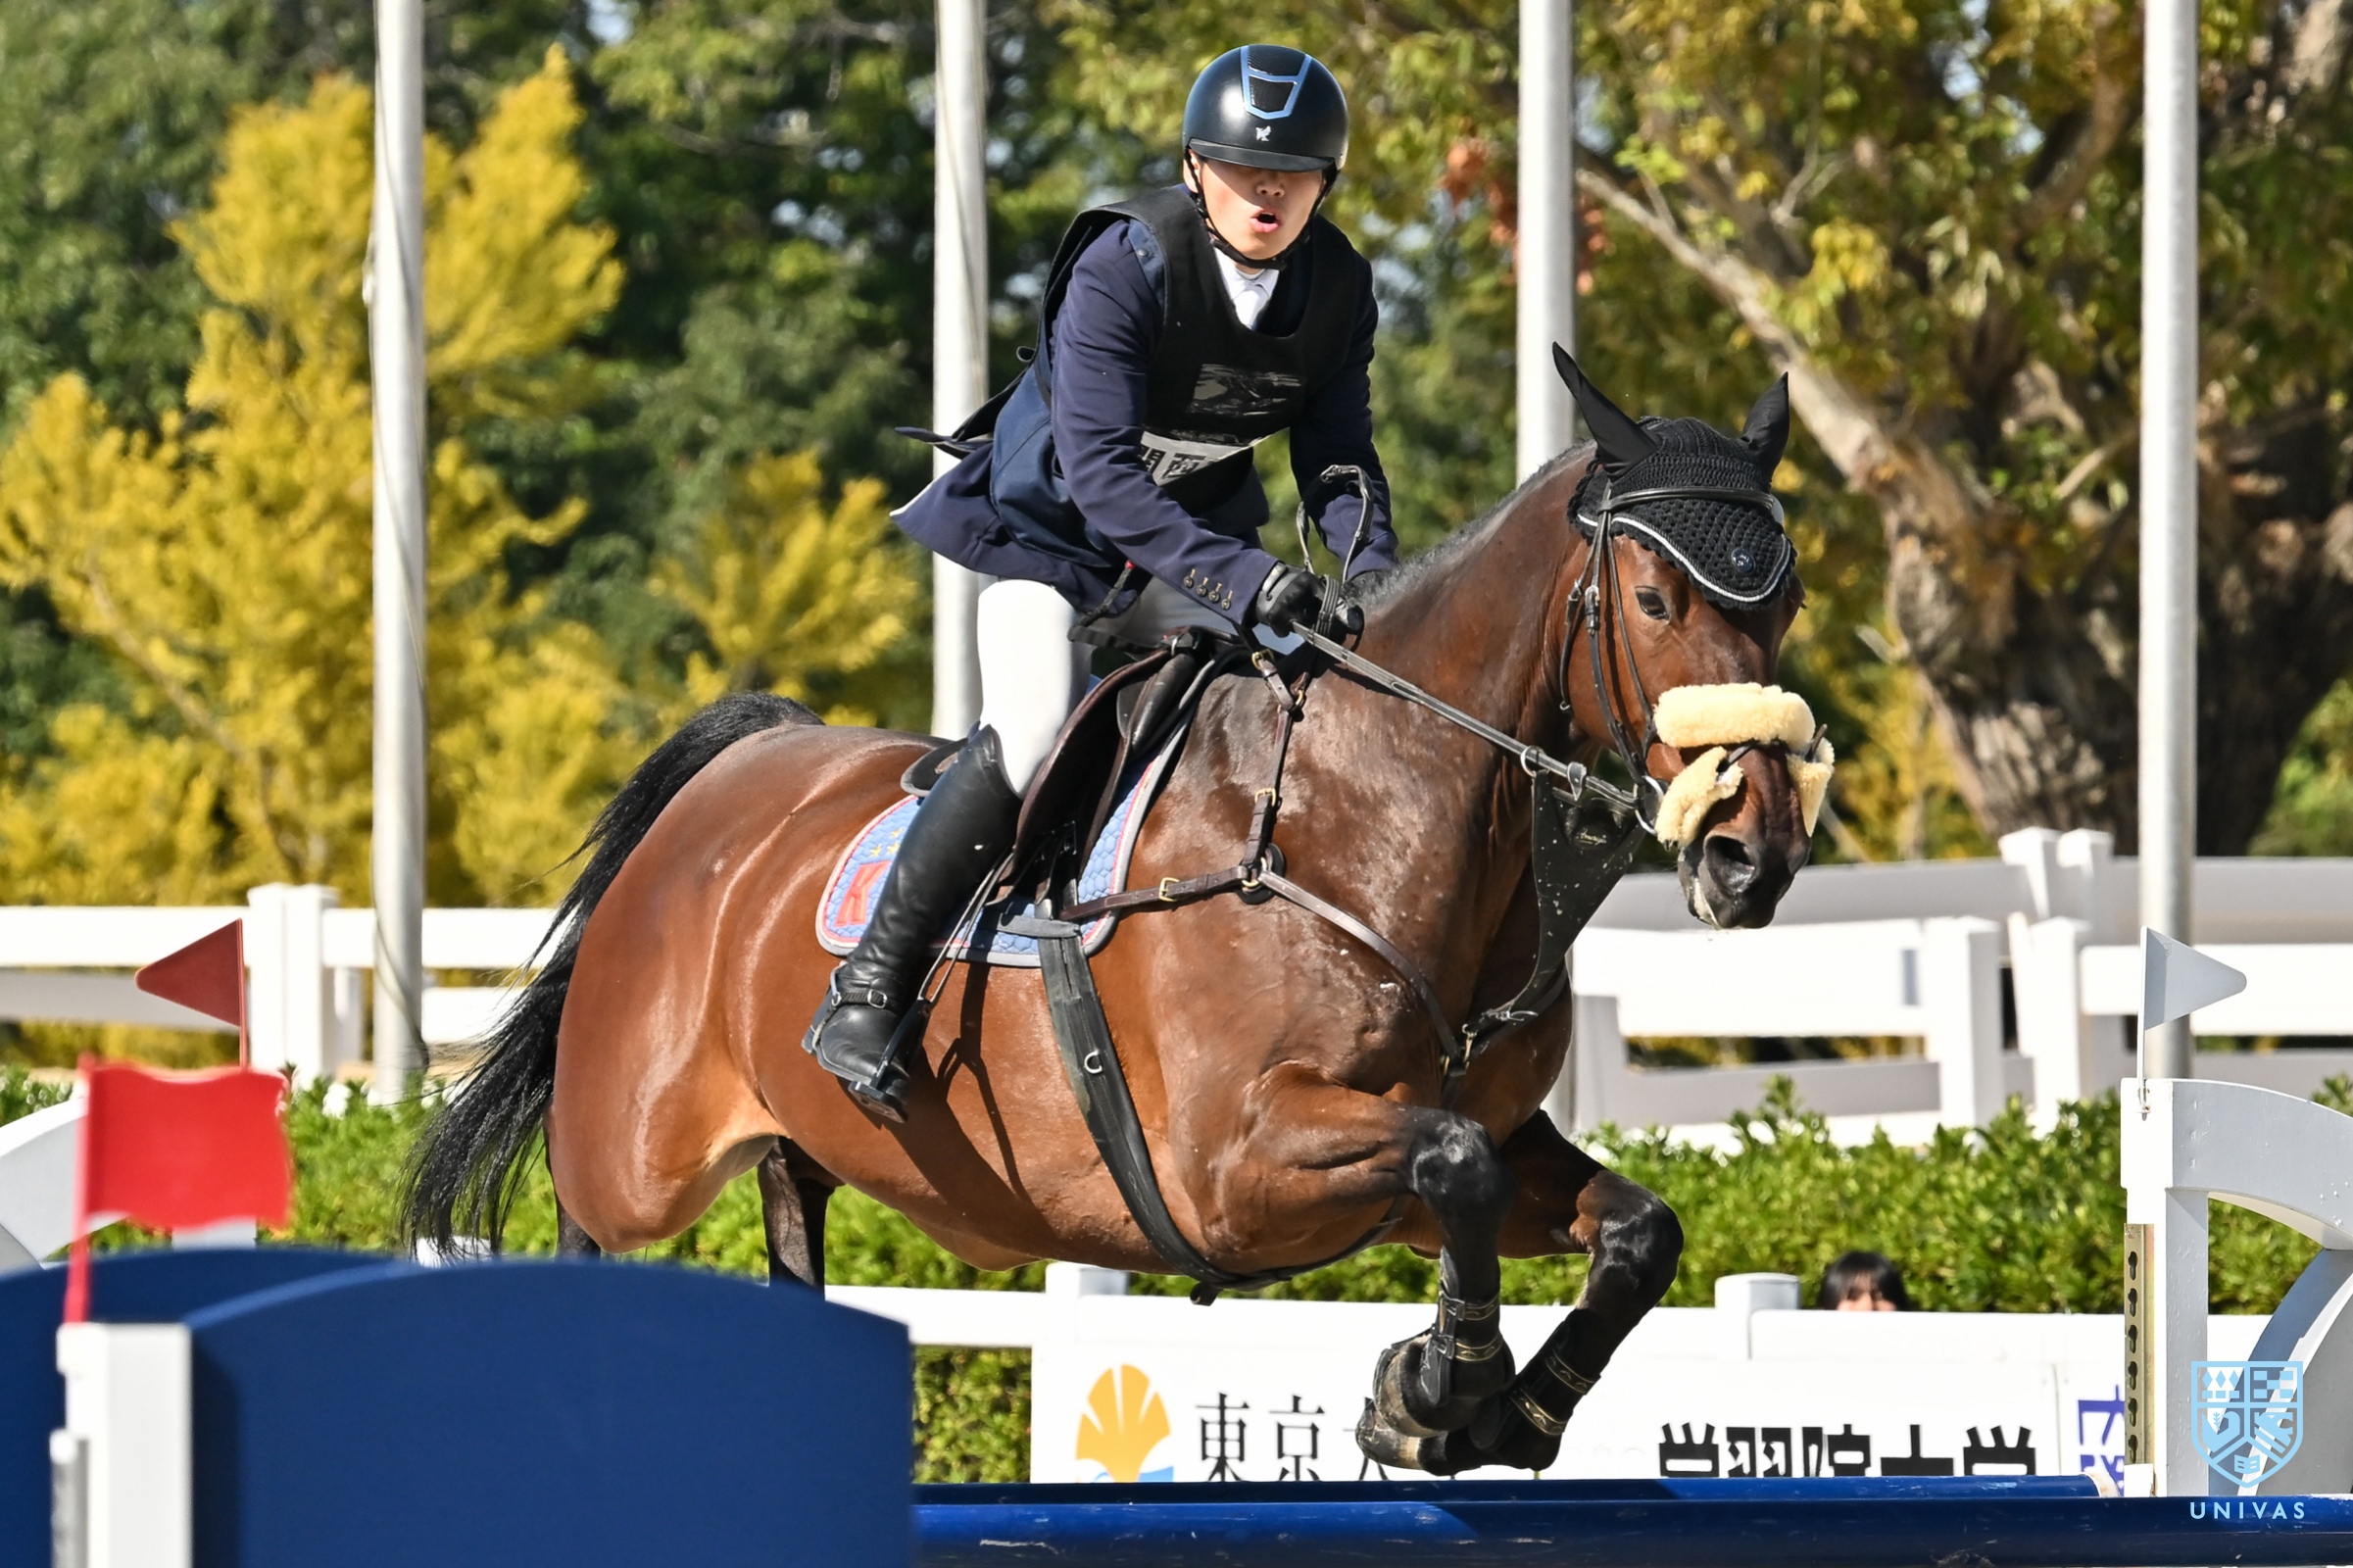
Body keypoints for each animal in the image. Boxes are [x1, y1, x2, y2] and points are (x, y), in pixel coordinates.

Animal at [405, 360, 1818, 1475]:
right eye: (1654, 602)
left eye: (1785, 604)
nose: (1752, 852)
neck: (1374, 817)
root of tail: (735, 773)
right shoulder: (1238, 1168)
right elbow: (1454, 1165)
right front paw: (1434, 1389)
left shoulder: (1453, 1152)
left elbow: (1628, 1228)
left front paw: (1494, 1413)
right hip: (632, 1155)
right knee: (586, 1235)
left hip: (789, 1147)